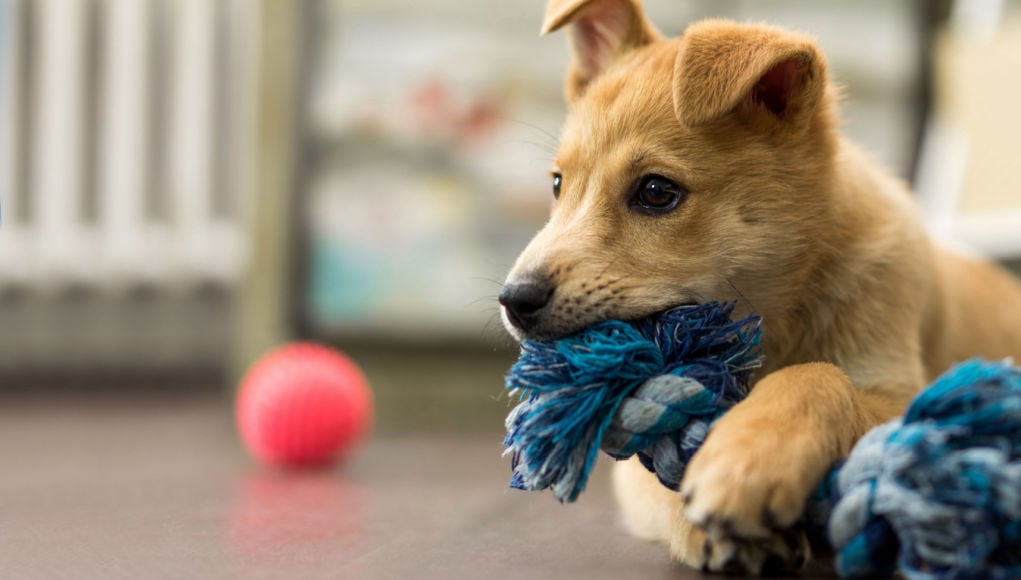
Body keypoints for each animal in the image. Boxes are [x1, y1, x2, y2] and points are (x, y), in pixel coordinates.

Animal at [498, 0, 1021, 571]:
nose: (514, 300)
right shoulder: (633, 469)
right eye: (557, 184)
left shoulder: (903, 396)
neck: (772, 318)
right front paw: (706, 515)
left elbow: (818, 374)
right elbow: (658, 477)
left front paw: (750, 457)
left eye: (657, 192)